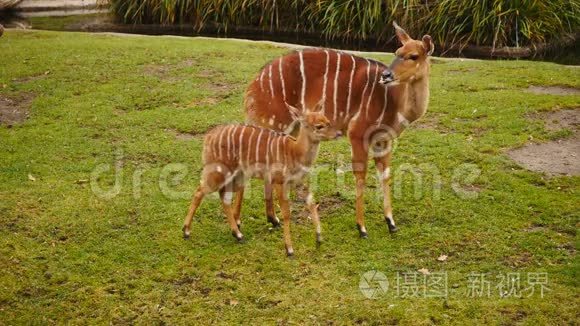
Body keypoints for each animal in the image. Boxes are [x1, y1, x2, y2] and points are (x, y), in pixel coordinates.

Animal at [182, 103, 340, 256]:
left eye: (328, 121)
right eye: (319, 126)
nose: (338, 133)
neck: (294, 151)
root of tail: (208, 137)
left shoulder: (299, 182)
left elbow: (312, 204)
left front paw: (319, 239)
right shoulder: (279, 181)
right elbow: (287, 213)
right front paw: (289, 249)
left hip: (238, 177)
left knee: (223, 196)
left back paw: (238, 235)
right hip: (218, 172)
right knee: (199, 191)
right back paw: (186, 231)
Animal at [242, 22, 432, 237]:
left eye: (413, 56)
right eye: (397, 52)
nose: (386, 76)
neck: (394, 101)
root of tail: (253, 86)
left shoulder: (384, 140)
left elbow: (385, 175)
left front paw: (391, 223)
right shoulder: (358, 134)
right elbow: (361, 176)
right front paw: (362, 228)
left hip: (293, 128)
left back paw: (273, 219)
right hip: (275, 125)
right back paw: (263, 221)